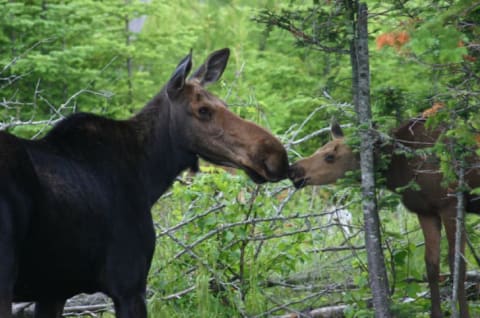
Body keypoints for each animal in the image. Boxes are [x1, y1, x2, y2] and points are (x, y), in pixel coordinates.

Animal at [0, 47, 288, 318]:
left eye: (224, 103)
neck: (148, 177)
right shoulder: (129, 284)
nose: (276, 155)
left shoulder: (54, 290)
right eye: (203, 110)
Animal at [288, 118, 480, 318]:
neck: (400, 168)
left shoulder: (450, 204)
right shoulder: (426, 212)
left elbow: (457, 264)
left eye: (330, 157)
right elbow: (432, 265)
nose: (294, 170)